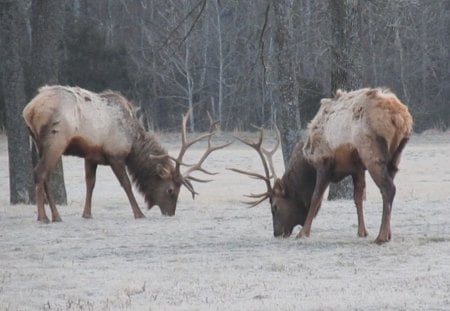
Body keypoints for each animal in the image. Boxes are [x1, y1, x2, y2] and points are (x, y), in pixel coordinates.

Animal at [22, 84, 230, 223]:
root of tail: (30, 110)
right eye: (171, 190)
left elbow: (90, 183)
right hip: (56, 141)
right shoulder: (115, 154)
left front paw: (87, 214)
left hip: (40, 144)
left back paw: (53, 216)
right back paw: (45, 217)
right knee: (40, 173)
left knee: (44, 175)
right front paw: (139, 213)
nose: (170, 213)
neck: (132, 140)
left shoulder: (91, 155)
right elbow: (127, 184)